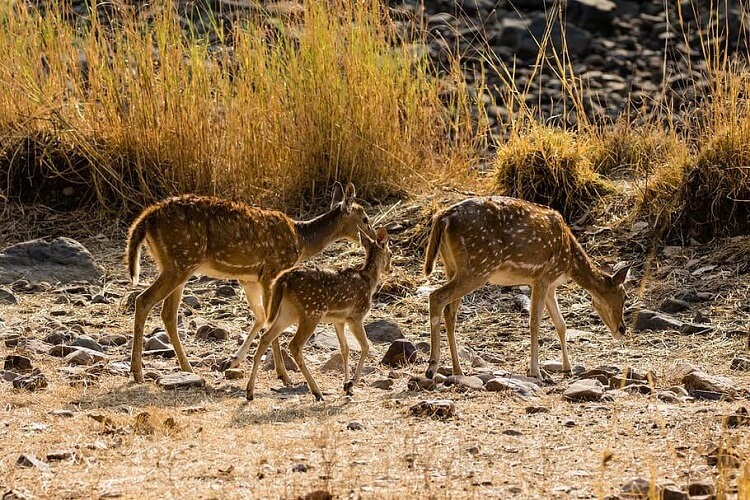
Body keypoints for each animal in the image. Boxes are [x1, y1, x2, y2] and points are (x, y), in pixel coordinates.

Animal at [128, 183, 382, 382]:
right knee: (143, 300)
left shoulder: (248, 277)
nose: (375, 239)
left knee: (167, 313)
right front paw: (284, 375)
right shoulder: (272, 271)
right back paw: (138, 372)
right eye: (365, 218)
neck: (301, 239)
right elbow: (270, 322)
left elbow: (260, 317)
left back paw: (186, 367)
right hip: (180, 261)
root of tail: (147, 217)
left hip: (175, 264)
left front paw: (233, 360)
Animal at [250, 227, 396, 402]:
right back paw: (316, 391)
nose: (390, 269)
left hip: (288, 311)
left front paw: (347, 387)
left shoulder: (339, 320)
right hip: (312, 311)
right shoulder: (356, 316)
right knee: (294, 344)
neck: (369, 282)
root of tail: (284, 278)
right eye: (391, 253)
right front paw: (352, 383)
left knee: (266, 336)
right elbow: (365, 346)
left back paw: (250, 392)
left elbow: (345, 348)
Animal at [426, 195, 632, 378]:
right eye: (624, 295)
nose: (622, 329)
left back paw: (457, 370)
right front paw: (535, 372)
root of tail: (443, 217)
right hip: (478, 266)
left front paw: (567, 368)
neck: (570, 263)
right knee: (436, 296)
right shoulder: (543, 277)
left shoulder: (550, 285)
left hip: (452, 266)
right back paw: (432, 367)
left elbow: (561, 324)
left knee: (450, 311)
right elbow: (535, 323)